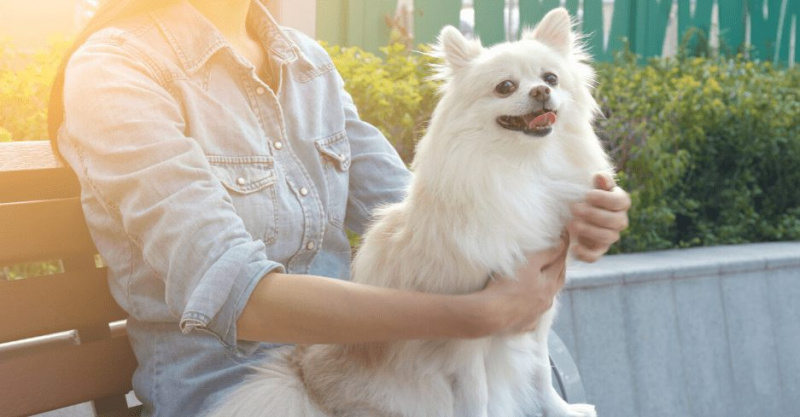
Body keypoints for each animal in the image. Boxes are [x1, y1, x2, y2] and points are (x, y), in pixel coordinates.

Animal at [209, 7, 608, 416]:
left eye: (551, 78)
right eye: (506, 87)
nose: (542, 91)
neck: (523, 167)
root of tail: (302, 376)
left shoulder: (538, 311)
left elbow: (540, 371)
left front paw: (561, 409)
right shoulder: (475, 330)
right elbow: (478, 394)